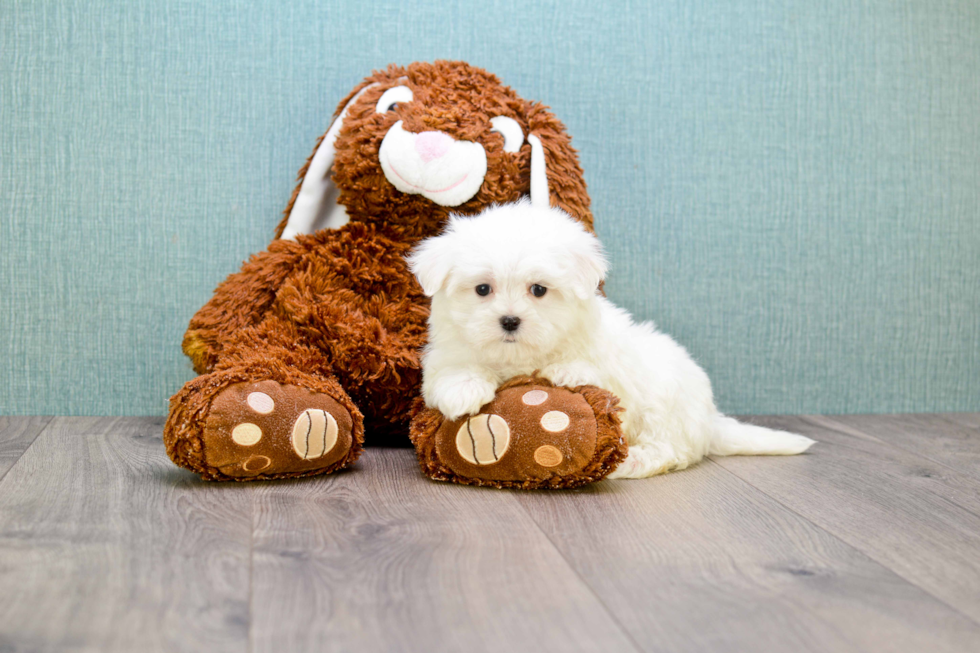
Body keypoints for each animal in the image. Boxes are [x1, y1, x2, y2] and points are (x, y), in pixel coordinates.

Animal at [406, 202, 812, 478]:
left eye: (538, 290)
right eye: (482, 289)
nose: (509, 321)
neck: (519, 359)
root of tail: (710, 420)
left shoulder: (611, 365)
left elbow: (592, 370)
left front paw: (567, 371)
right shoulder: (444, 355)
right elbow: (452, 371)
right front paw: (463, 391)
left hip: (666, 402)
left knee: (670, 449)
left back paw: (633, 461)